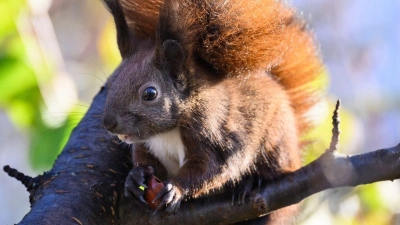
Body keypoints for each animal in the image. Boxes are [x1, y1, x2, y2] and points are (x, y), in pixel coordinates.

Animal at [101, 0, 324, 222]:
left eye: (149, 93)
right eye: (110, 83)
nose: (108, 123)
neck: (166, 133)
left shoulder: (214, 135)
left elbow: (211, 168)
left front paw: (176, 189)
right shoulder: (147, 144)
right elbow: (147, 161)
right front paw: (136, 175)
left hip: (276, 143)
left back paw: (252, 182)